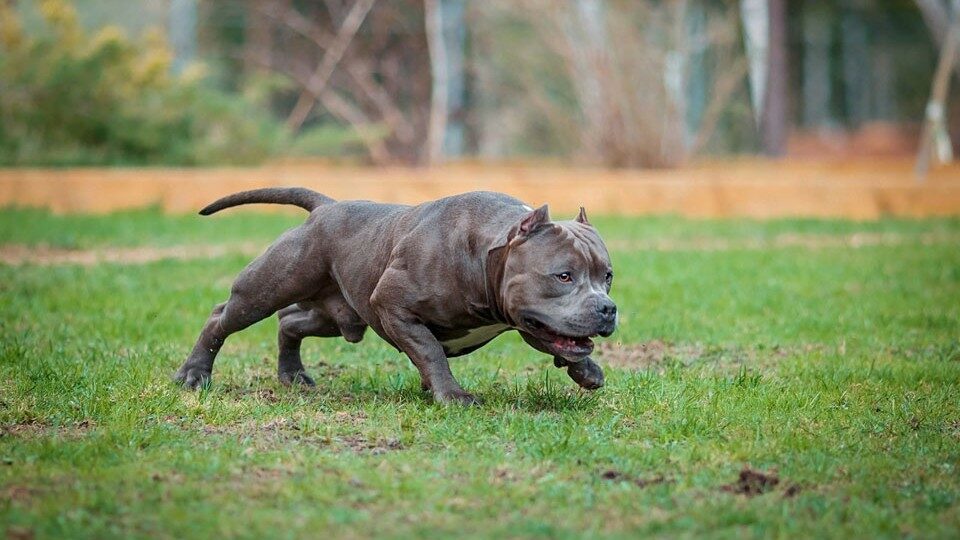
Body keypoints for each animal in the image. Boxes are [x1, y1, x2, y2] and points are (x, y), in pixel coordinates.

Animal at [173, 188, 620, 402]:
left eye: (608, 277)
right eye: (563, 276)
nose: (608, 308)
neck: (485, 253)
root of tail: (326, 207)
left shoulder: (529, 320)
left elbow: (562, 343)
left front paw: (586, 371)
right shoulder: (392, 307)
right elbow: (431, 351)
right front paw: (451, 395)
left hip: (338, 315)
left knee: (291, 322)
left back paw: (293, 374)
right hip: (266, 289)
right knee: (223, 316)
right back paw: (194, 375)